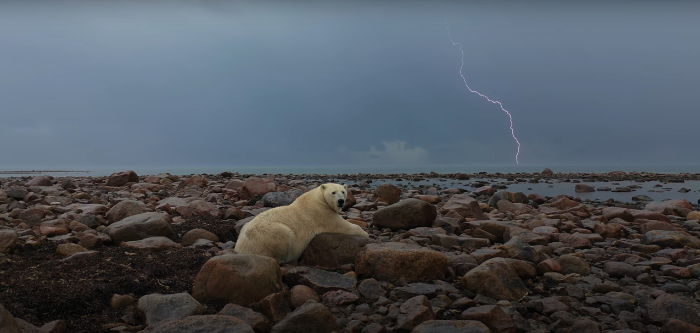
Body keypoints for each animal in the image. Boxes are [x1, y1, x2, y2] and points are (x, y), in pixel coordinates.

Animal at [234, 182, 370, 262]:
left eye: (343, 192)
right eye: (333, 192)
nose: (341, 201)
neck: (318, 199)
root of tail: (240, 248)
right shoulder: (322, 213)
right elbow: (341, 225)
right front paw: (366, 233)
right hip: (268, 234)